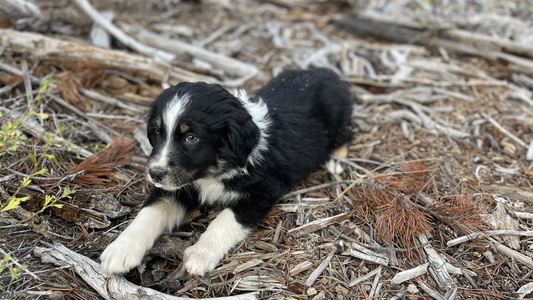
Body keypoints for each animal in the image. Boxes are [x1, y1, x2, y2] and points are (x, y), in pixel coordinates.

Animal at [100, 68, 354, 276]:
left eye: (191, 138)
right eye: (156, 132)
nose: (155, 174)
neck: (212, 171)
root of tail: (328, 73)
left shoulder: (263, 191)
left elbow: (225, 219)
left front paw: (200, 254)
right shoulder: (178, 186)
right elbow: (150, 212)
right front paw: (120, 250)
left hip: (339, 123)